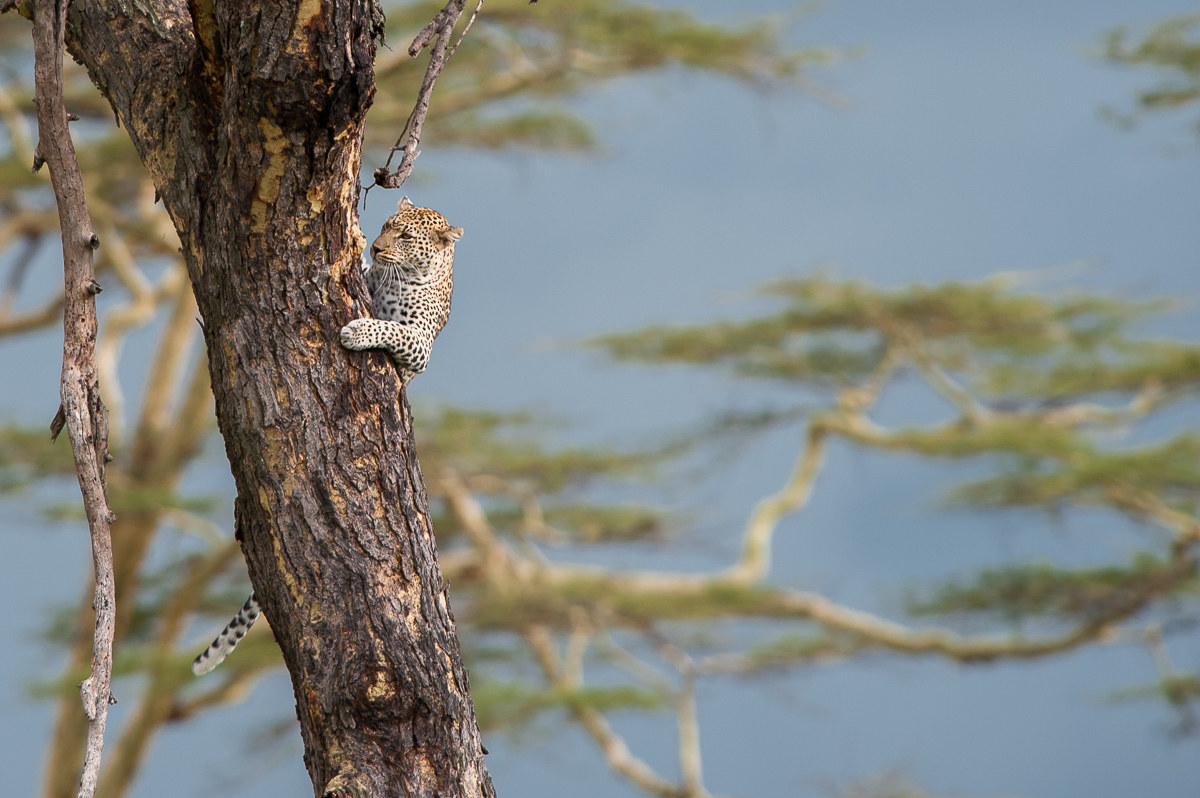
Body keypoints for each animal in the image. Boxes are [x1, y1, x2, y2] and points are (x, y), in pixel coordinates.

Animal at [191, 198, 462, 677]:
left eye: (406, 237)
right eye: (388, 225)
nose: (376, 246)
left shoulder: (420, 347)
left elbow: (392, 328)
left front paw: (358, 330)